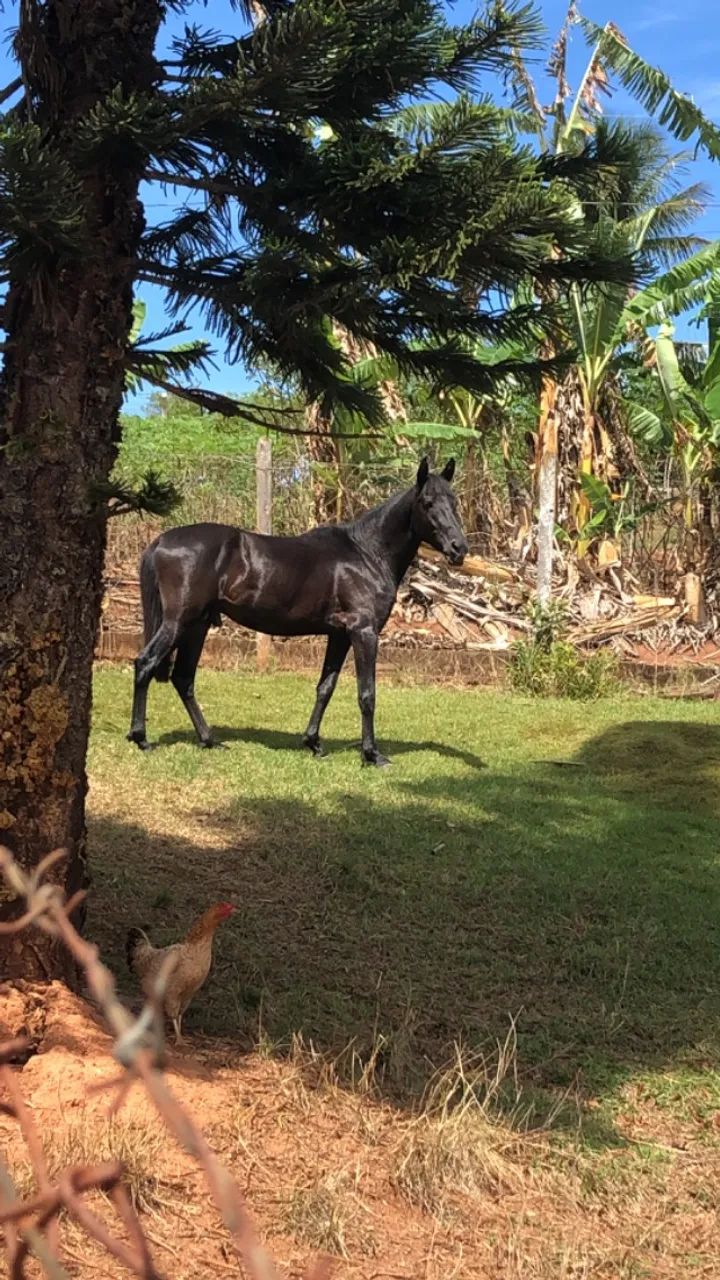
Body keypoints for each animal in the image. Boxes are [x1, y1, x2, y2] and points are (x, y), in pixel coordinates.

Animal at [127, 456, 468, 766]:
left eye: (454, 501)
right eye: (427, 503)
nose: (459, 548)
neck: (367, 553)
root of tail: (159, 541)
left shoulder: (339, 635)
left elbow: (325, 688)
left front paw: (314, 743)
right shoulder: (364, 632)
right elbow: (367, 694)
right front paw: (372, 755)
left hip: (197, 625)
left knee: (183, 678)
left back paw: (209, 740)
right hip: (178, 622)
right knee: (146, 663)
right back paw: (141, 738)